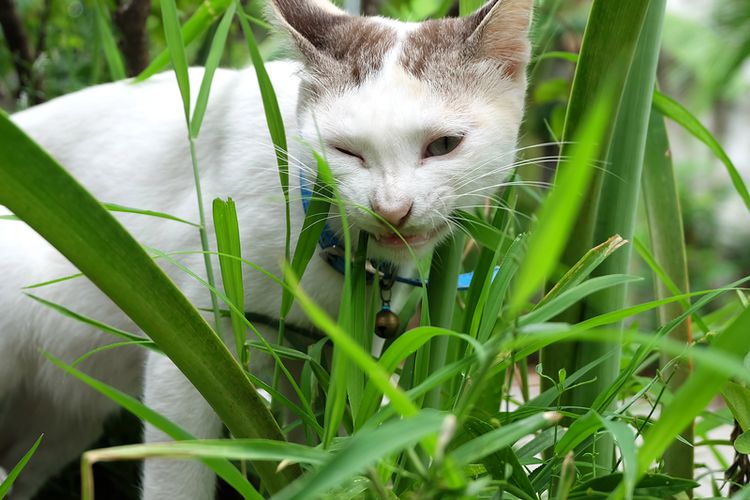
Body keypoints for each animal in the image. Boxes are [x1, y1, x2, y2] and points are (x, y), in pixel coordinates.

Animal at [0, 0, 532, 496]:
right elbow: (181, 470)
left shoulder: (334, 355)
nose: (392, 209)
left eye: (443, 145)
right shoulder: (193, 341)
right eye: (346, 150)